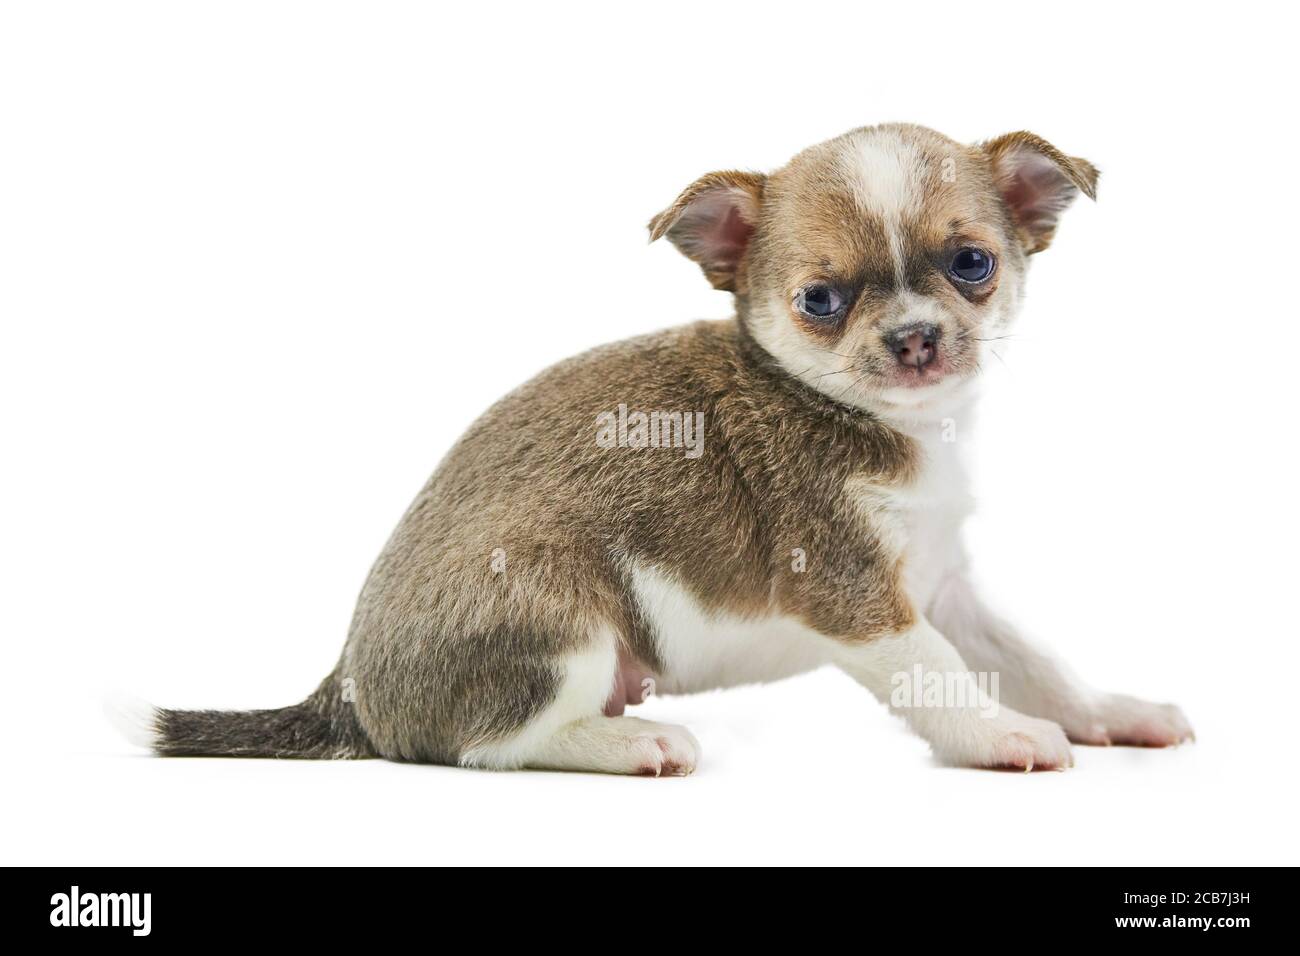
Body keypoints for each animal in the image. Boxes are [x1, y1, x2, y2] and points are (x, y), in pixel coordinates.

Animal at [129, 123, 1190, 775]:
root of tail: (345, 688)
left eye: (972, 264)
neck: (890, 425)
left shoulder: (942, 583)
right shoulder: (857, 598)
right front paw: (1001, 735)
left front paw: (1108, 711)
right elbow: (939, 674)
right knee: (488, 743)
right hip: (561, 617)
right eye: (820, 300)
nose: (917, 339)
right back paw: (631, 746)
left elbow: (1028, 656)